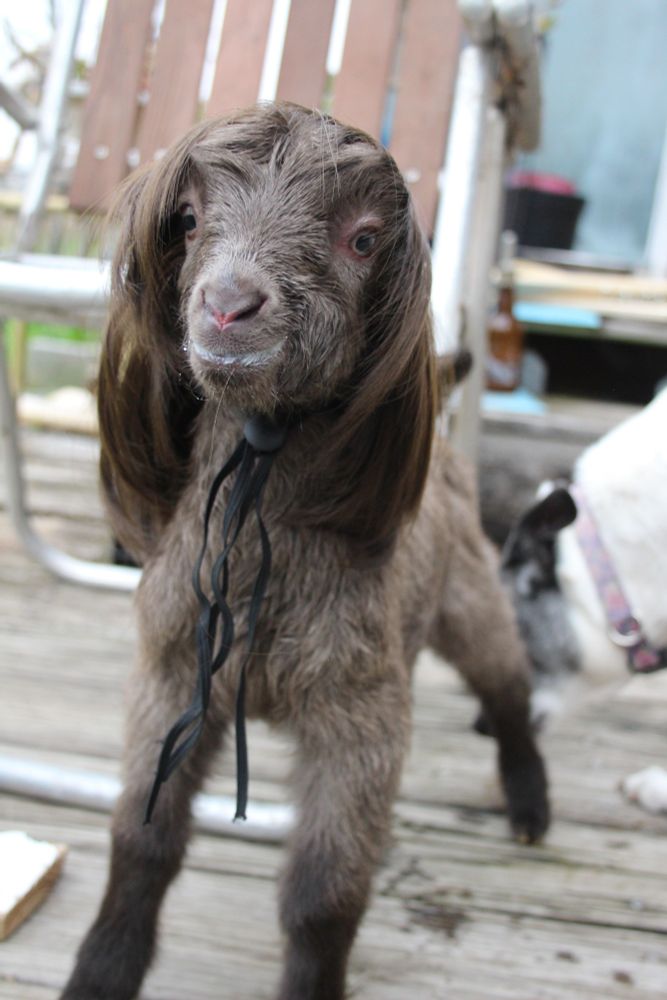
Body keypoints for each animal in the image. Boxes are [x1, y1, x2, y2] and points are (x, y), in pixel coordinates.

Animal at [61, 103, 548, 1000]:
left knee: (505, 683)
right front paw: (101, 973)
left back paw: (530, 803)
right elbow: (142, 841)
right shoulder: (173, 673)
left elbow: (324, 895)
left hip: (468, 593)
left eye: (362, 239)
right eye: (188, 220)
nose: (228, 306)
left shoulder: (360, 712)